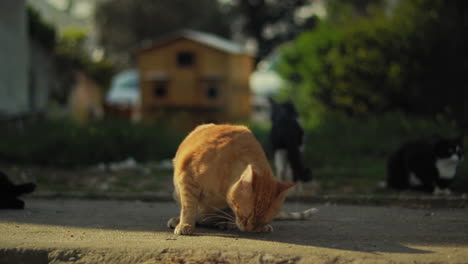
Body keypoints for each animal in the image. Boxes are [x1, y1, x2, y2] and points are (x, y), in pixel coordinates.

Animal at [168, 124, 314, 235]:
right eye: (246, 216)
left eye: (262, 221)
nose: (250, 230)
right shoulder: (188, 180)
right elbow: (188, 207)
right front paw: (186, 224)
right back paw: (180, 220)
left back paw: (225, 223)